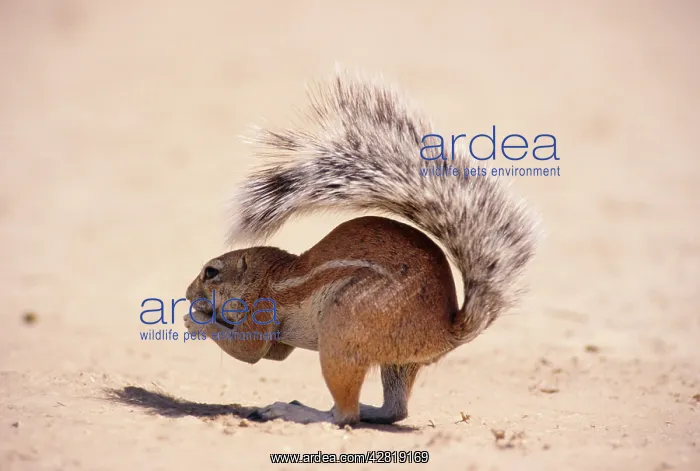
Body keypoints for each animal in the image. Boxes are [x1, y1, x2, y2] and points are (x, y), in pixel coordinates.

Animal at [183, 70, 540, 427]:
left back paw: (296, 410)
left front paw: (196, 318)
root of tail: (446, 331)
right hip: (397, 362)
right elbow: (274, 354)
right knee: (394, 410)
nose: (187, 294)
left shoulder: (262, 311)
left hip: (341, 333)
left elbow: (248, 350)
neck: (268, 276)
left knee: (345, 415)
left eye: (211, 272)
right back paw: (369, 409)